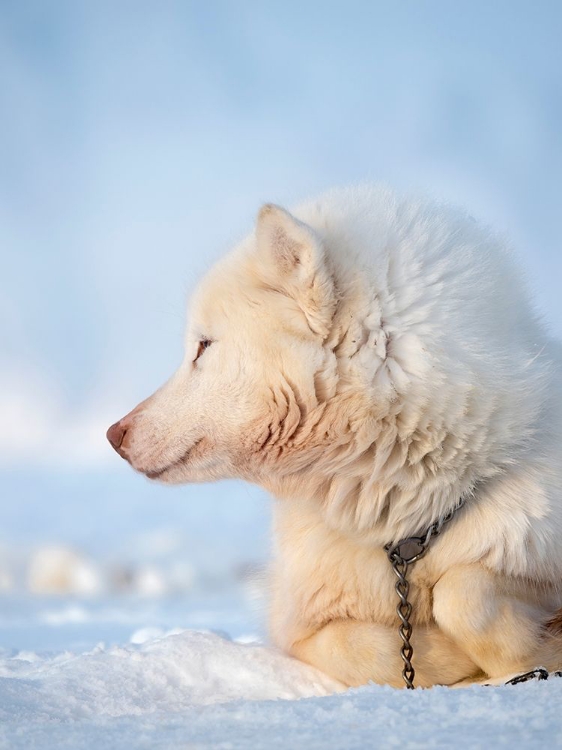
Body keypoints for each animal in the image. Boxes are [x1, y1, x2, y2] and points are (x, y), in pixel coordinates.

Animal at [107, 187, 560, 688]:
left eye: (203, 346)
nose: (114, 434)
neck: (408, 528)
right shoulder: (297, 625)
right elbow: (364, 647)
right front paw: (451, 660)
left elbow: (463, 592)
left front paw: (534, 651)